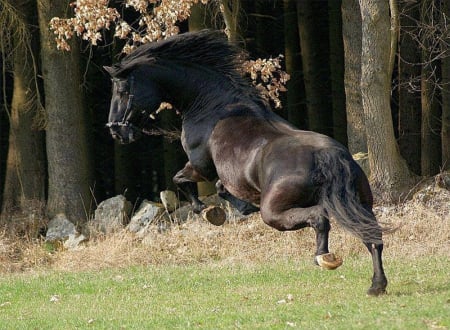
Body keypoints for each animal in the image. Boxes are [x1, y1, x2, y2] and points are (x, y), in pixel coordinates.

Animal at [103, 29, 388, 296]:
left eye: (122, 91)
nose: (116, 131)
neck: (212, 106)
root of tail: (331, 156)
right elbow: (220, 188)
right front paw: (240, 208)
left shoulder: (200, 166)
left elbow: (181, 179)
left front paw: (207, 211)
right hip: (360, 205)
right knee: (372, 238)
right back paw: (376, 286)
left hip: (274, 212)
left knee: (319, 218)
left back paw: (324, 258)